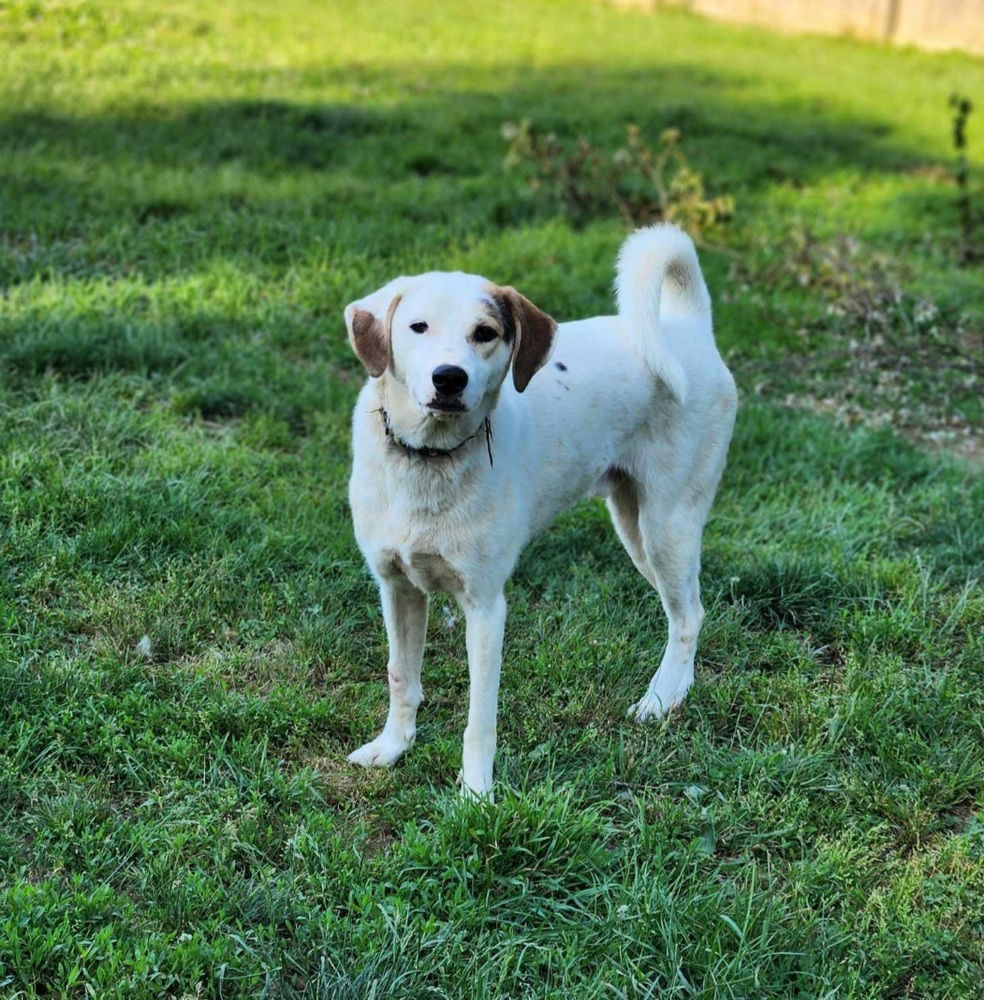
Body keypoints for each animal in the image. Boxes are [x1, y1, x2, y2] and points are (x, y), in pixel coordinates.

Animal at [342, 223, 736, 800]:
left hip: (668, 525)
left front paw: (476, 794)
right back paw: (675, 694)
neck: (429, 460)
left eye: (485, 333)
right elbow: (401, 677)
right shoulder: (396, 588)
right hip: (633, 528)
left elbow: (480, 717)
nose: (449, 378)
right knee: (686, 608)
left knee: (688, 614)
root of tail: (690, 329)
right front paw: (392, 748)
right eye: (417, 327)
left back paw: (660, 701)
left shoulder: (486, 607)